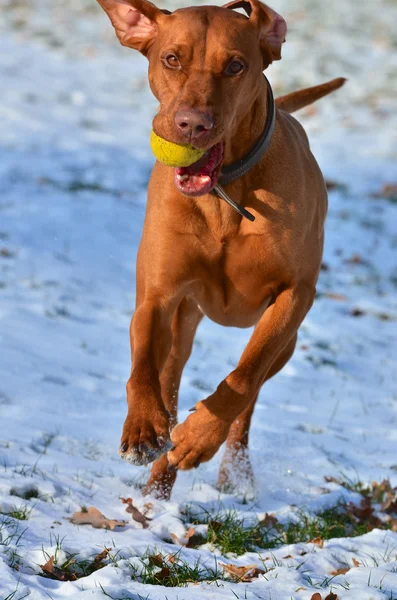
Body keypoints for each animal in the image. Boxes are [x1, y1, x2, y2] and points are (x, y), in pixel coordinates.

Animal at [96, 0, 344, 500]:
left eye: (235, 66)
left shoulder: (294, 296)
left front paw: (199, 437)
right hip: (183, 322)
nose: (192, 124)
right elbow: (142, 365)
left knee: (251, 392)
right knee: (170, 375)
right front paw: (142, 427)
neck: (226, 192)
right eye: (172, 58)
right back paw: (158, 478)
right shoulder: (158, 295)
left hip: (287, 341)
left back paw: (230, 467)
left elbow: (243, 377)